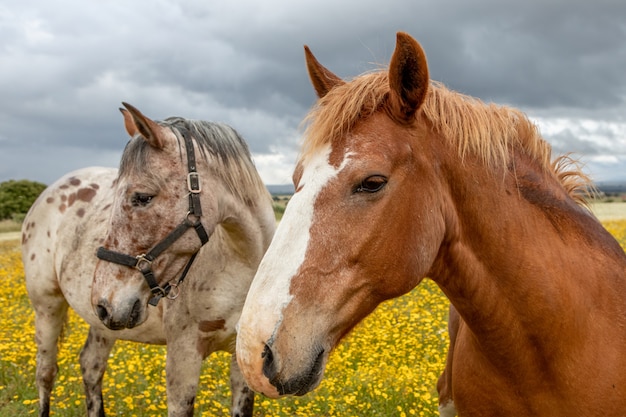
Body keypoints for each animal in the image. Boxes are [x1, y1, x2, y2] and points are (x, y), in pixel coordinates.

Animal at [23, 103, 274, 416]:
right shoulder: (183, 358)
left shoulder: (245, 364)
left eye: (142, 197)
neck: (240, 267)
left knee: (91, 367)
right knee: (45, 374)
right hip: (48, 308)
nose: (104, 302)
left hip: (102, 324)